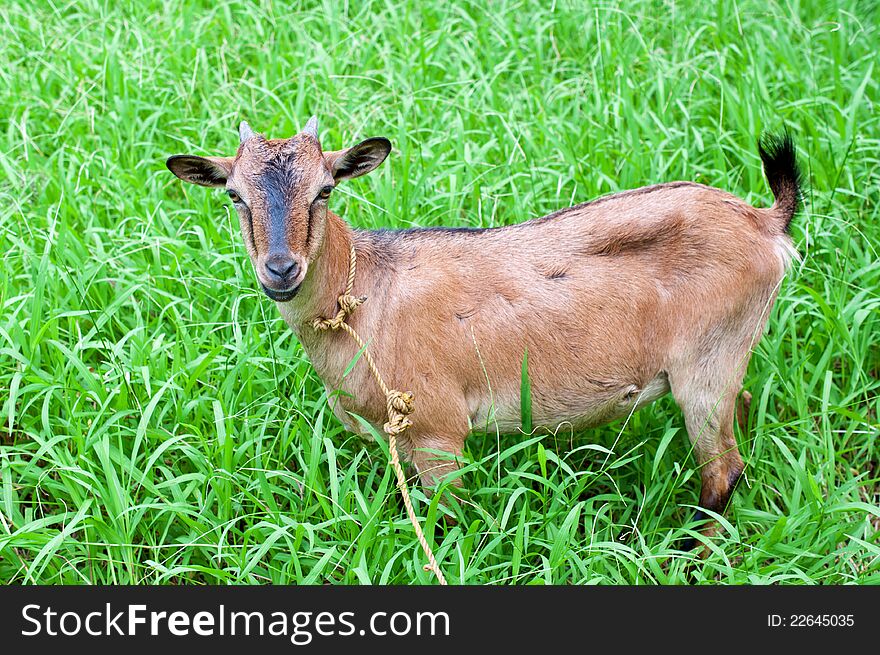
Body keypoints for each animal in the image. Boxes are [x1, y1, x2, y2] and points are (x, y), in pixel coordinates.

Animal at [167, 119, 804, 548]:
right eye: (233, 194)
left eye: (326, 188)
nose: (281, 269)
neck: (369, 293)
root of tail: (764, 223)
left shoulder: (438, 430)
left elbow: (446, 520)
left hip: (704, 367)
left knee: (721, 470)